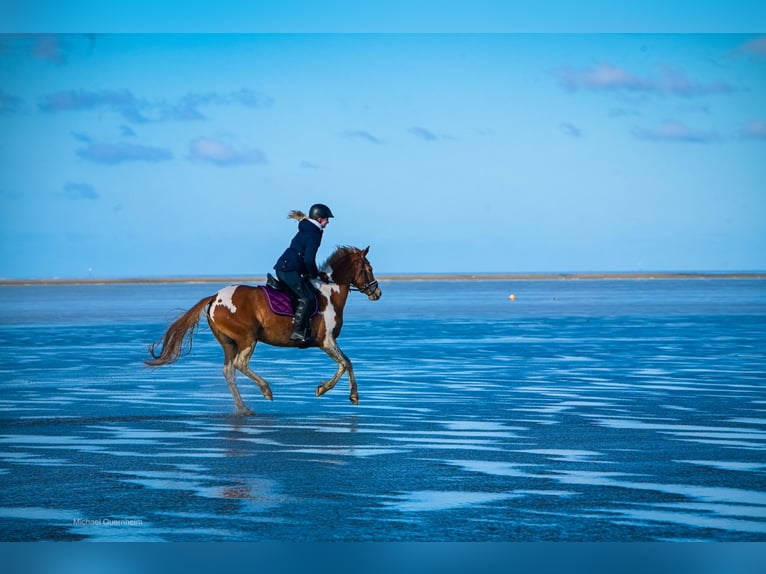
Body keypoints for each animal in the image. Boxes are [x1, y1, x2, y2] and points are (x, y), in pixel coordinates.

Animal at [144, 245, 380, 416]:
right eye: (369, 268)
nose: (377, 293)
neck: (328, 292)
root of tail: (214, 297)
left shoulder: (326, 343)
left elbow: (343, 364)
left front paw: (323, 389)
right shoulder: (326, 341)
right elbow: (347, 363)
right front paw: (351, 395)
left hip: (228, 342)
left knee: (229, 371)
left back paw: (244, 408)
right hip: (248, 338)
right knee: (240, 364)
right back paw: (266, 390)